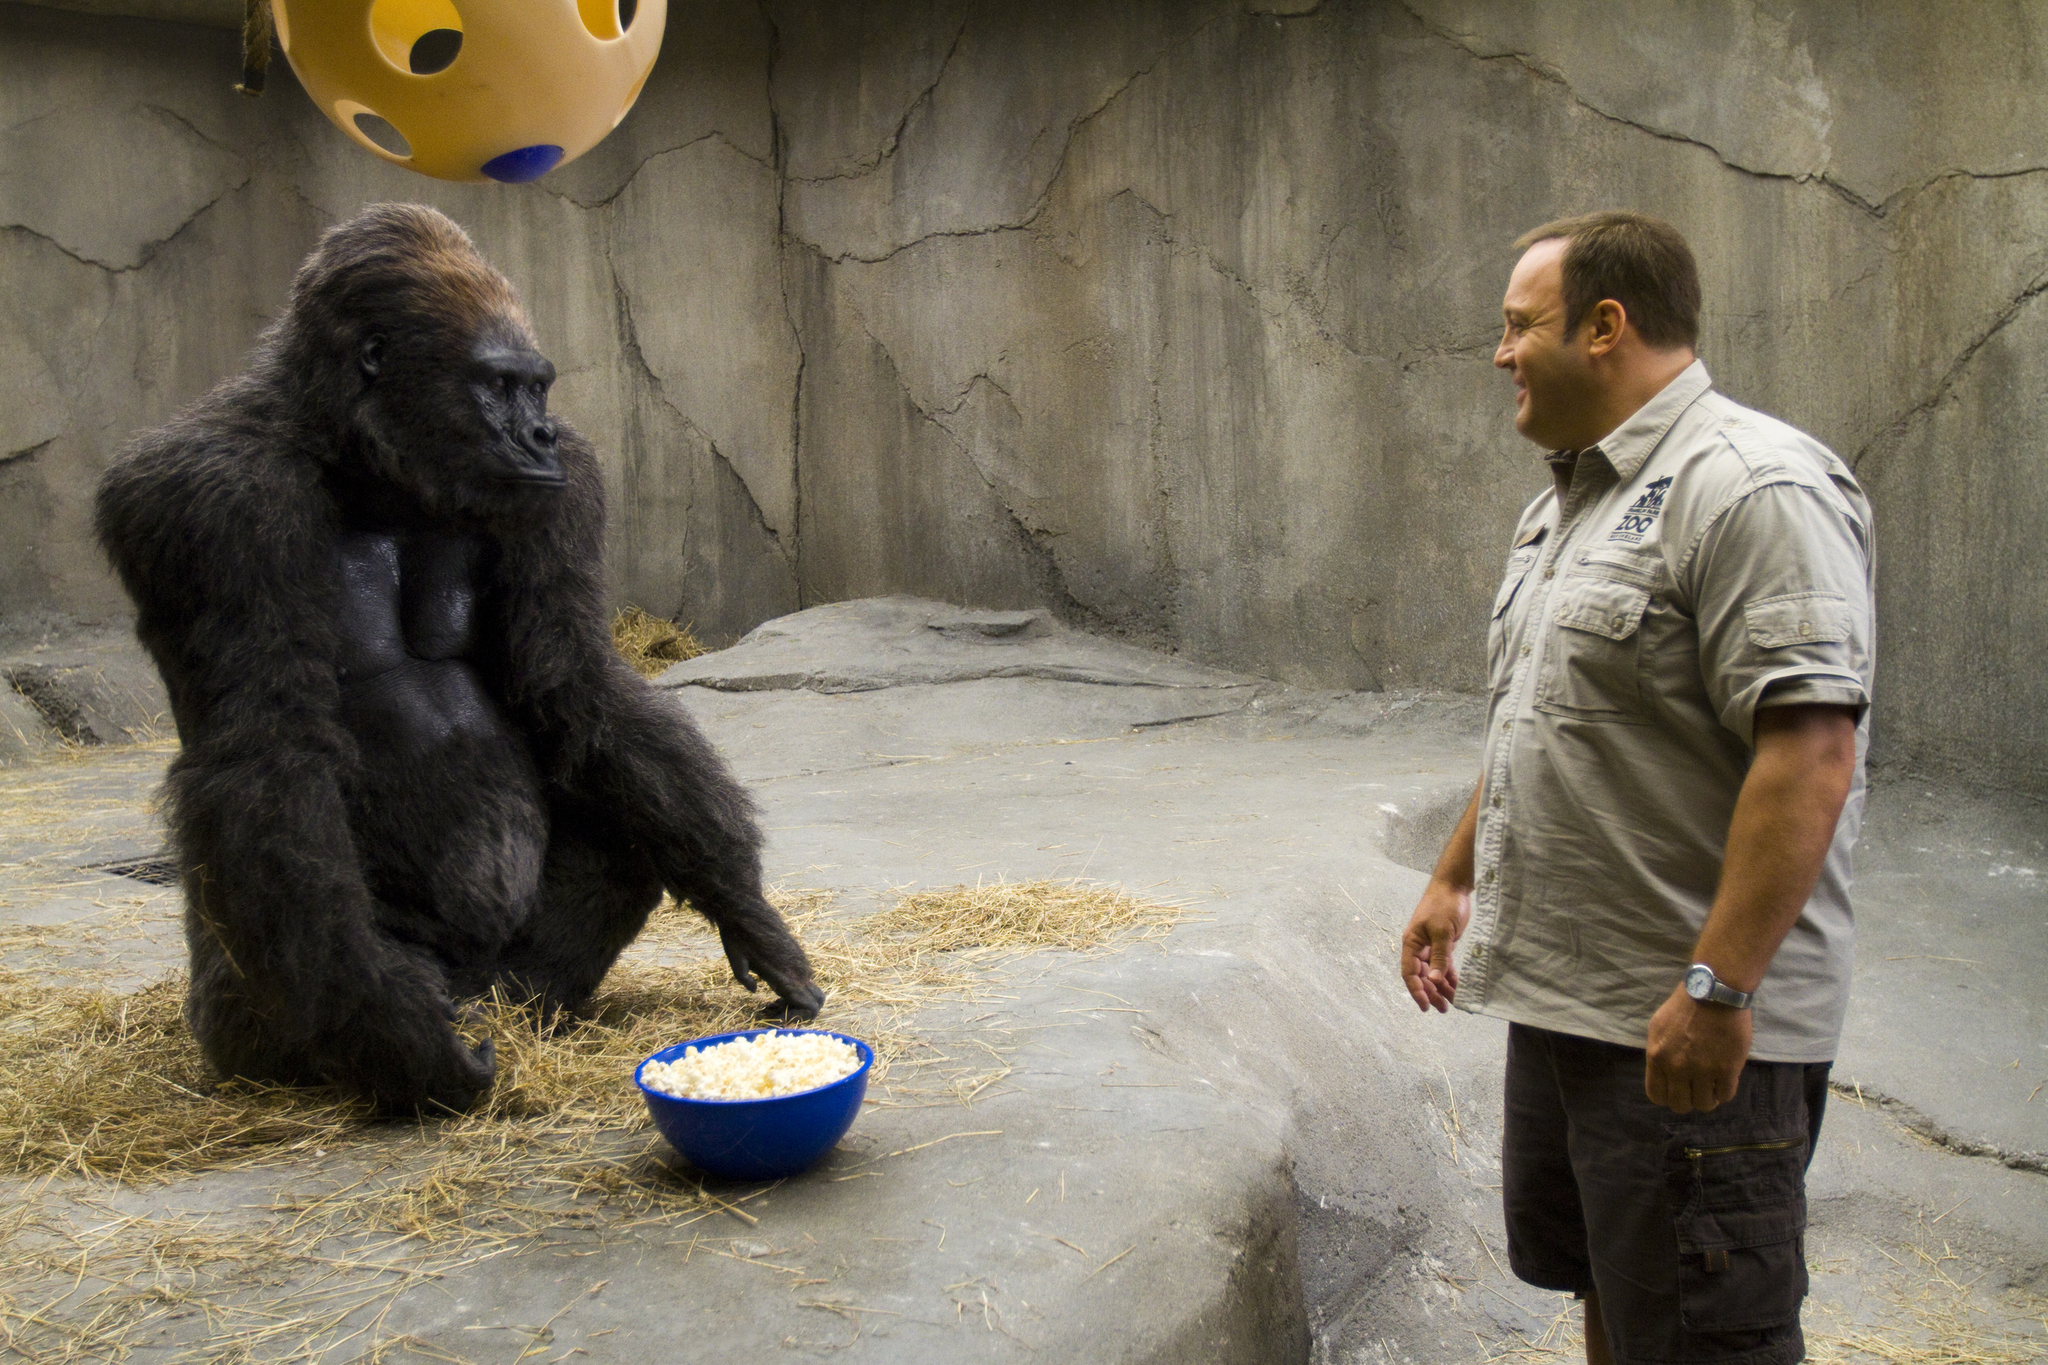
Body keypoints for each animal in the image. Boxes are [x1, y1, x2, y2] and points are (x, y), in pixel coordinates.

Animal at [94, 205, 815, 1121]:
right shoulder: (206, 501)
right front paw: (389, 1024)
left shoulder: (567, 481)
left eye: (536, 387)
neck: (355, 460)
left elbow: (571, 678)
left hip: (503, 980)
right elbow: (267, 746)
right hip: (252, 1006)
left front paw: (741, 903)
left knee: (613, 823)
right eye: (498, 384)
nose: (539, 432)